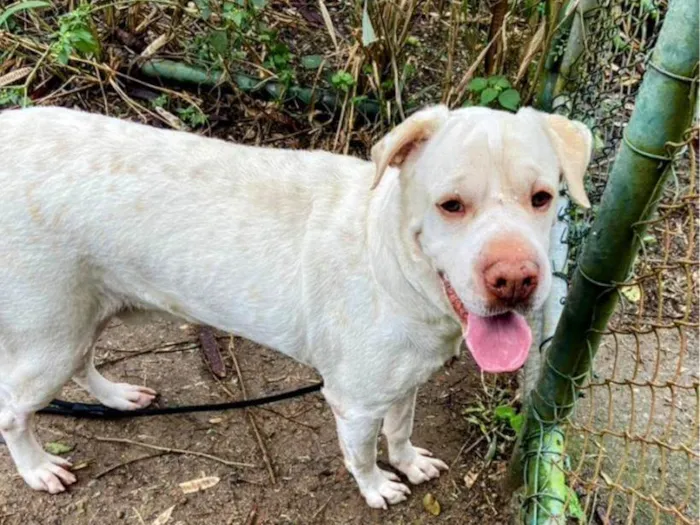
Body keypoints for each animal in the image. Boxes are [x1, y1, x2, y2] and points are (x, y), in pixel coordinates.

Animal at [0, 102, 592, 508]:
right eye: (451, 205)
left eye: (542, 198)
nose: (514, 280)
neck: (395, 269)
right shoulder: (353, 403)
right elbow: (362, 453)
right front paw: (378, 487)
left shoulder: (405, 381)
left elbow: (400, 430)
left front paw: (408, 463)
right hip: (48, 337)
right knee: (13, 413)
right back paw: (37, 469)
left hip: (80, 319)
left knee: (84, 363)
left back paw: (117, 397)